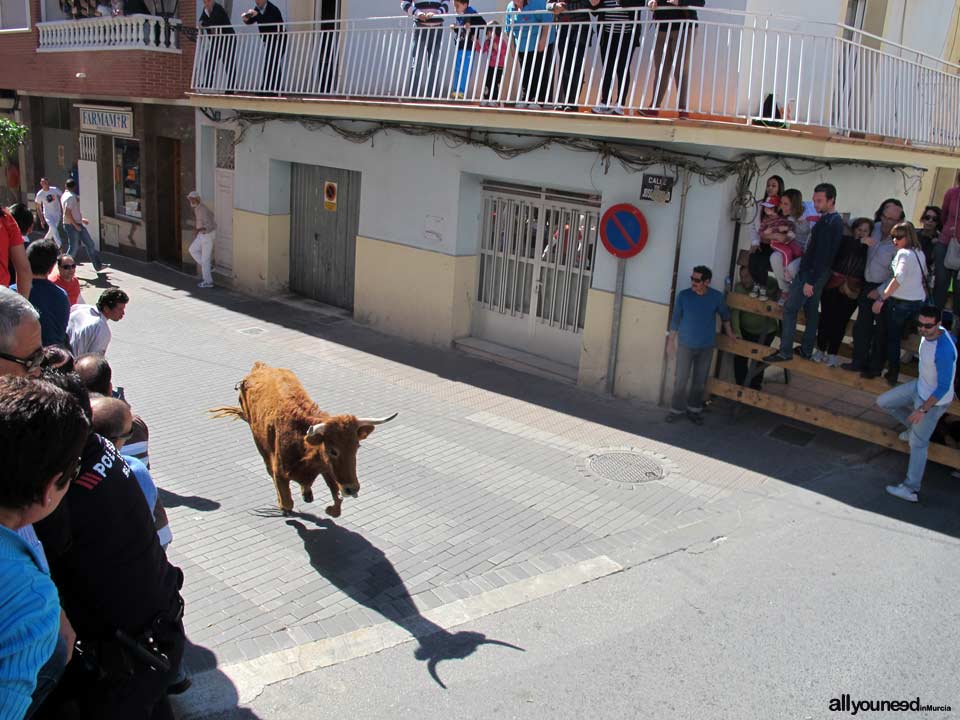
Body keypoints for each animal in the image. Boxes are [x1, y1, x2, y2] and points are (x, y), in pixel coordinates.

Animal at [211, 362, 398, 516]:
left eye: (356, 447)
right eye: (333, 450)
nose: (352, 488)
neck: (302, 442)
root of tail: (259, 367)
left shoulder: (326, 469)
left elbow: (336, 504)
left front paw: (328, 506)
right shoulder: (280, 473)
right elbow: (287, 502)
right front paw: (283, 507)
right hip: (259, 443)